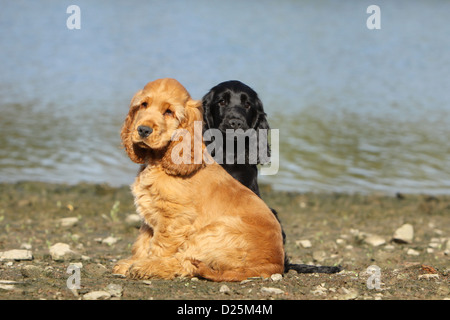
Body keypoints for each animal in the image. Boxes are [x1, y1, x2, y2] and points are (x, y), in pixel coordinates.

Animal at [112, 79, 284, 282]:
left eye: (169, 112)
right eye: (143, 105)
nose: (142, 130)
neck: (158, 161)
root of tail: (275, 264)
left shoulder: (174, 220)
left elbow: (160, 247)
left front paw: (145, 263)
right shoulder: (149, 216)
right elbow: (143, 242)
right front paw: (133, 261)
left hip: (212, 233)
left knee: (186, 262)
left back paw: (151, 267)